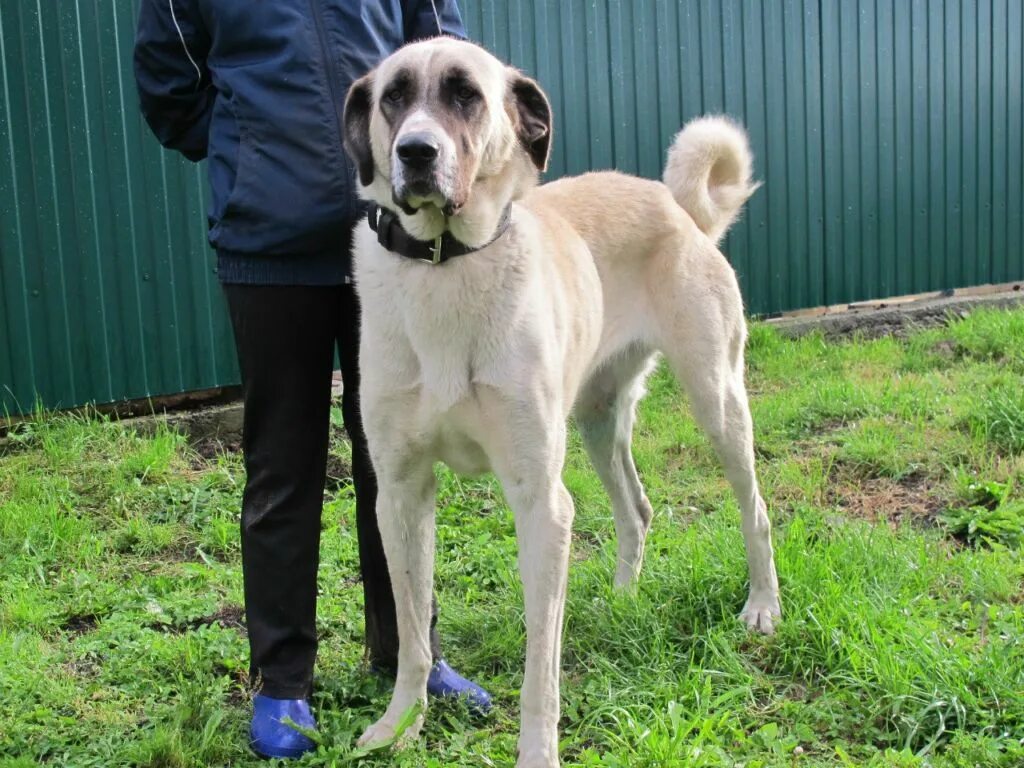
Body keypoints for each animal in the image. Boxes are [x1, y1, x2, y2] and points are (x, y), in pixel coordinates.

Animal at [344, 37, 782, 768]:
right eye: (394, 97)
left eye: (466, 94)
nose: (415, 153)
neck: (446, 262)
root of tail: (676, 205)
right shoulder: (400, 494)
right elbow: (411, 636)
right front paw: (400, 724)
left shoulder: (540, 500)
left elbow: (538, 665)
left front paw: (537, 751)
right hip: (597, 419)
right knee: (637, 508)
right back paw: (623, 600)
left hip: (716, 400)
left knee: (755, 509)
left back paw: (762, 606)